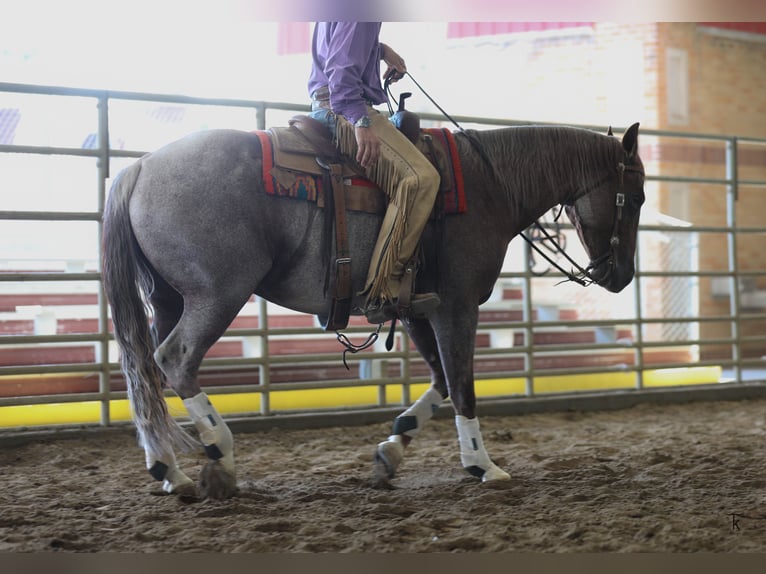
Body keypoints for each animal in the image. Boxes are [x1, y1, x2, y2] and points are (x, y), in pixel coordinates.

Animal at [102, 120, 645, 499]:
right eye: (636, 196)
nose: (620, 276)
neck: (490, 186)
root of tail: (140, 167)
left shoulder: (419, 312)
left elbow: (441, 383)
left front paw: (391, 453)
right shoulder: (458, 307)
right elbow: (463, 386)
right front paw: (482, 465)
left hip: (169, 299)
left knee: (149, 374)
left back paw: (170, 470)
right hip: (218, 293)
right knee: (176, 359)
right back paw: (221, 457)